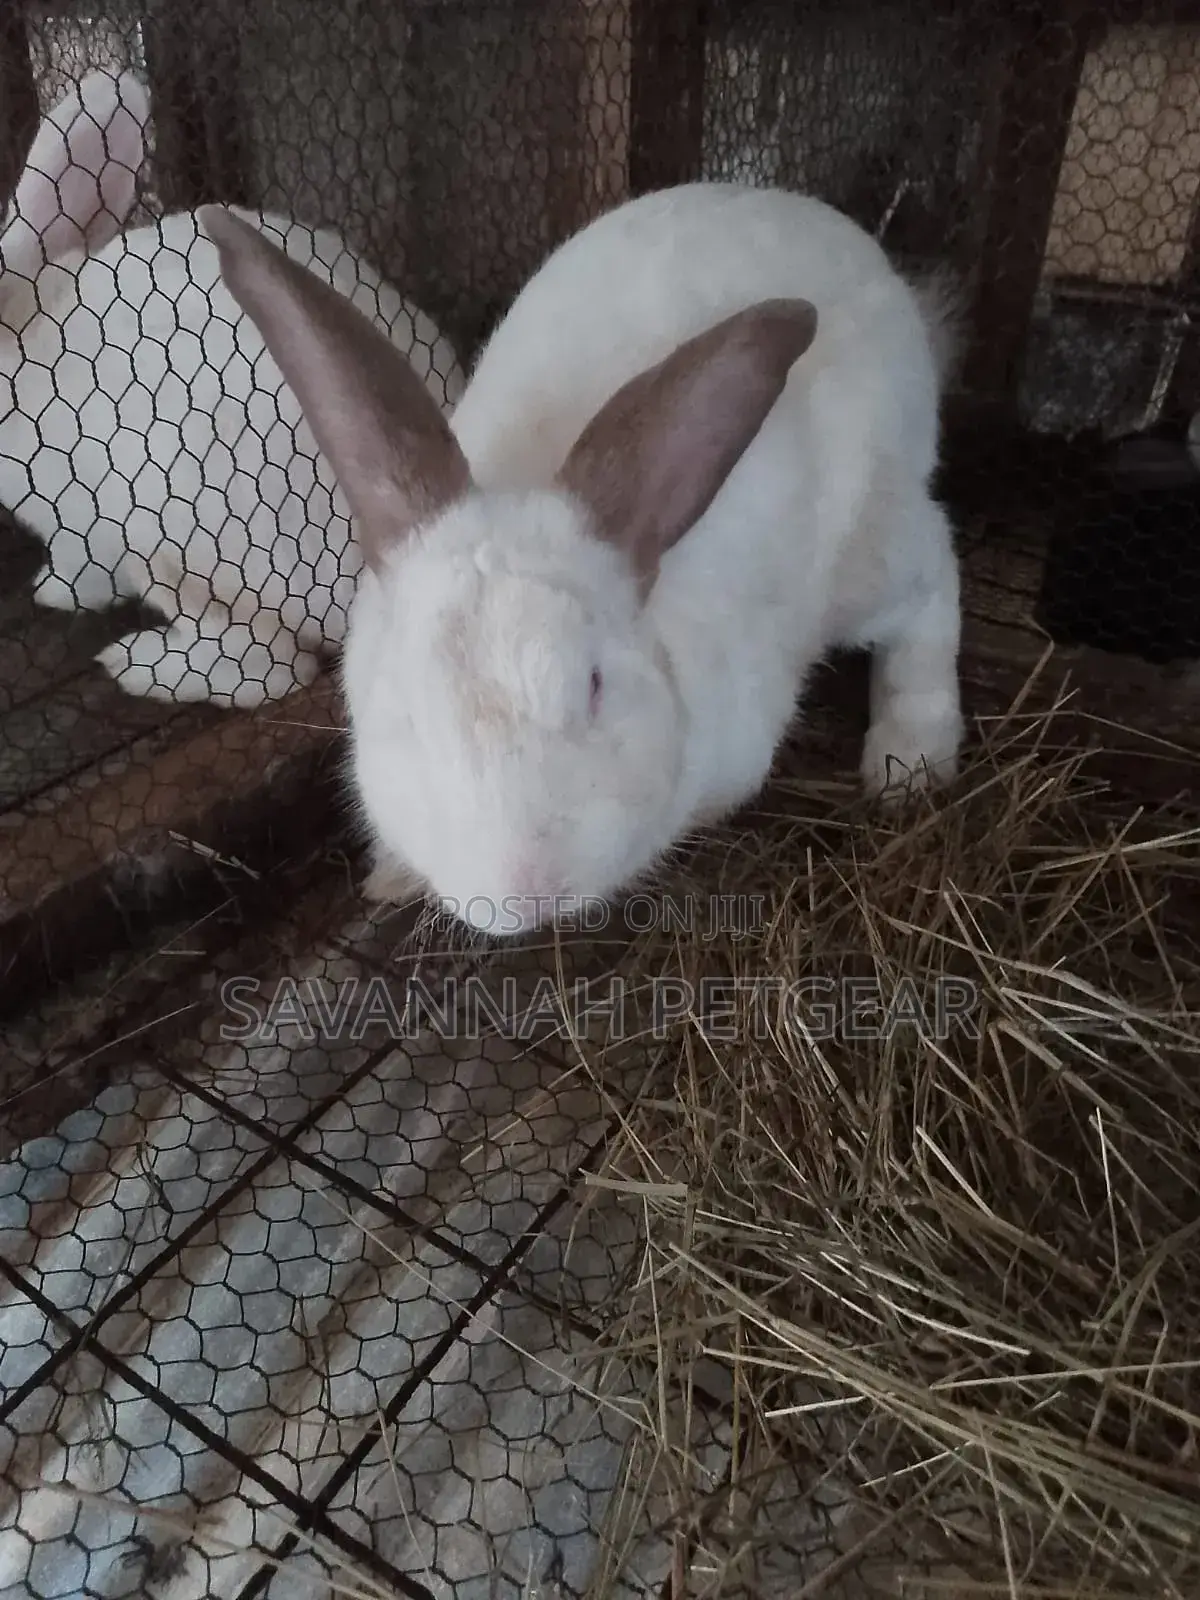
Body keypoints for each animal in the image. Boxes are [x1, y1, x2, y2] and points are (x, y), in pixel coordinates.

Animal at [198, 180, 965, 934]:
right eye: (407, 712)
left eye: (594, 685)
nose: (525, 895)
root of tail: (861, 250)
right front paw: (392, 880)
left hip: (874, 548)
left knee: (932, 580)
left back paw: (910, 760)